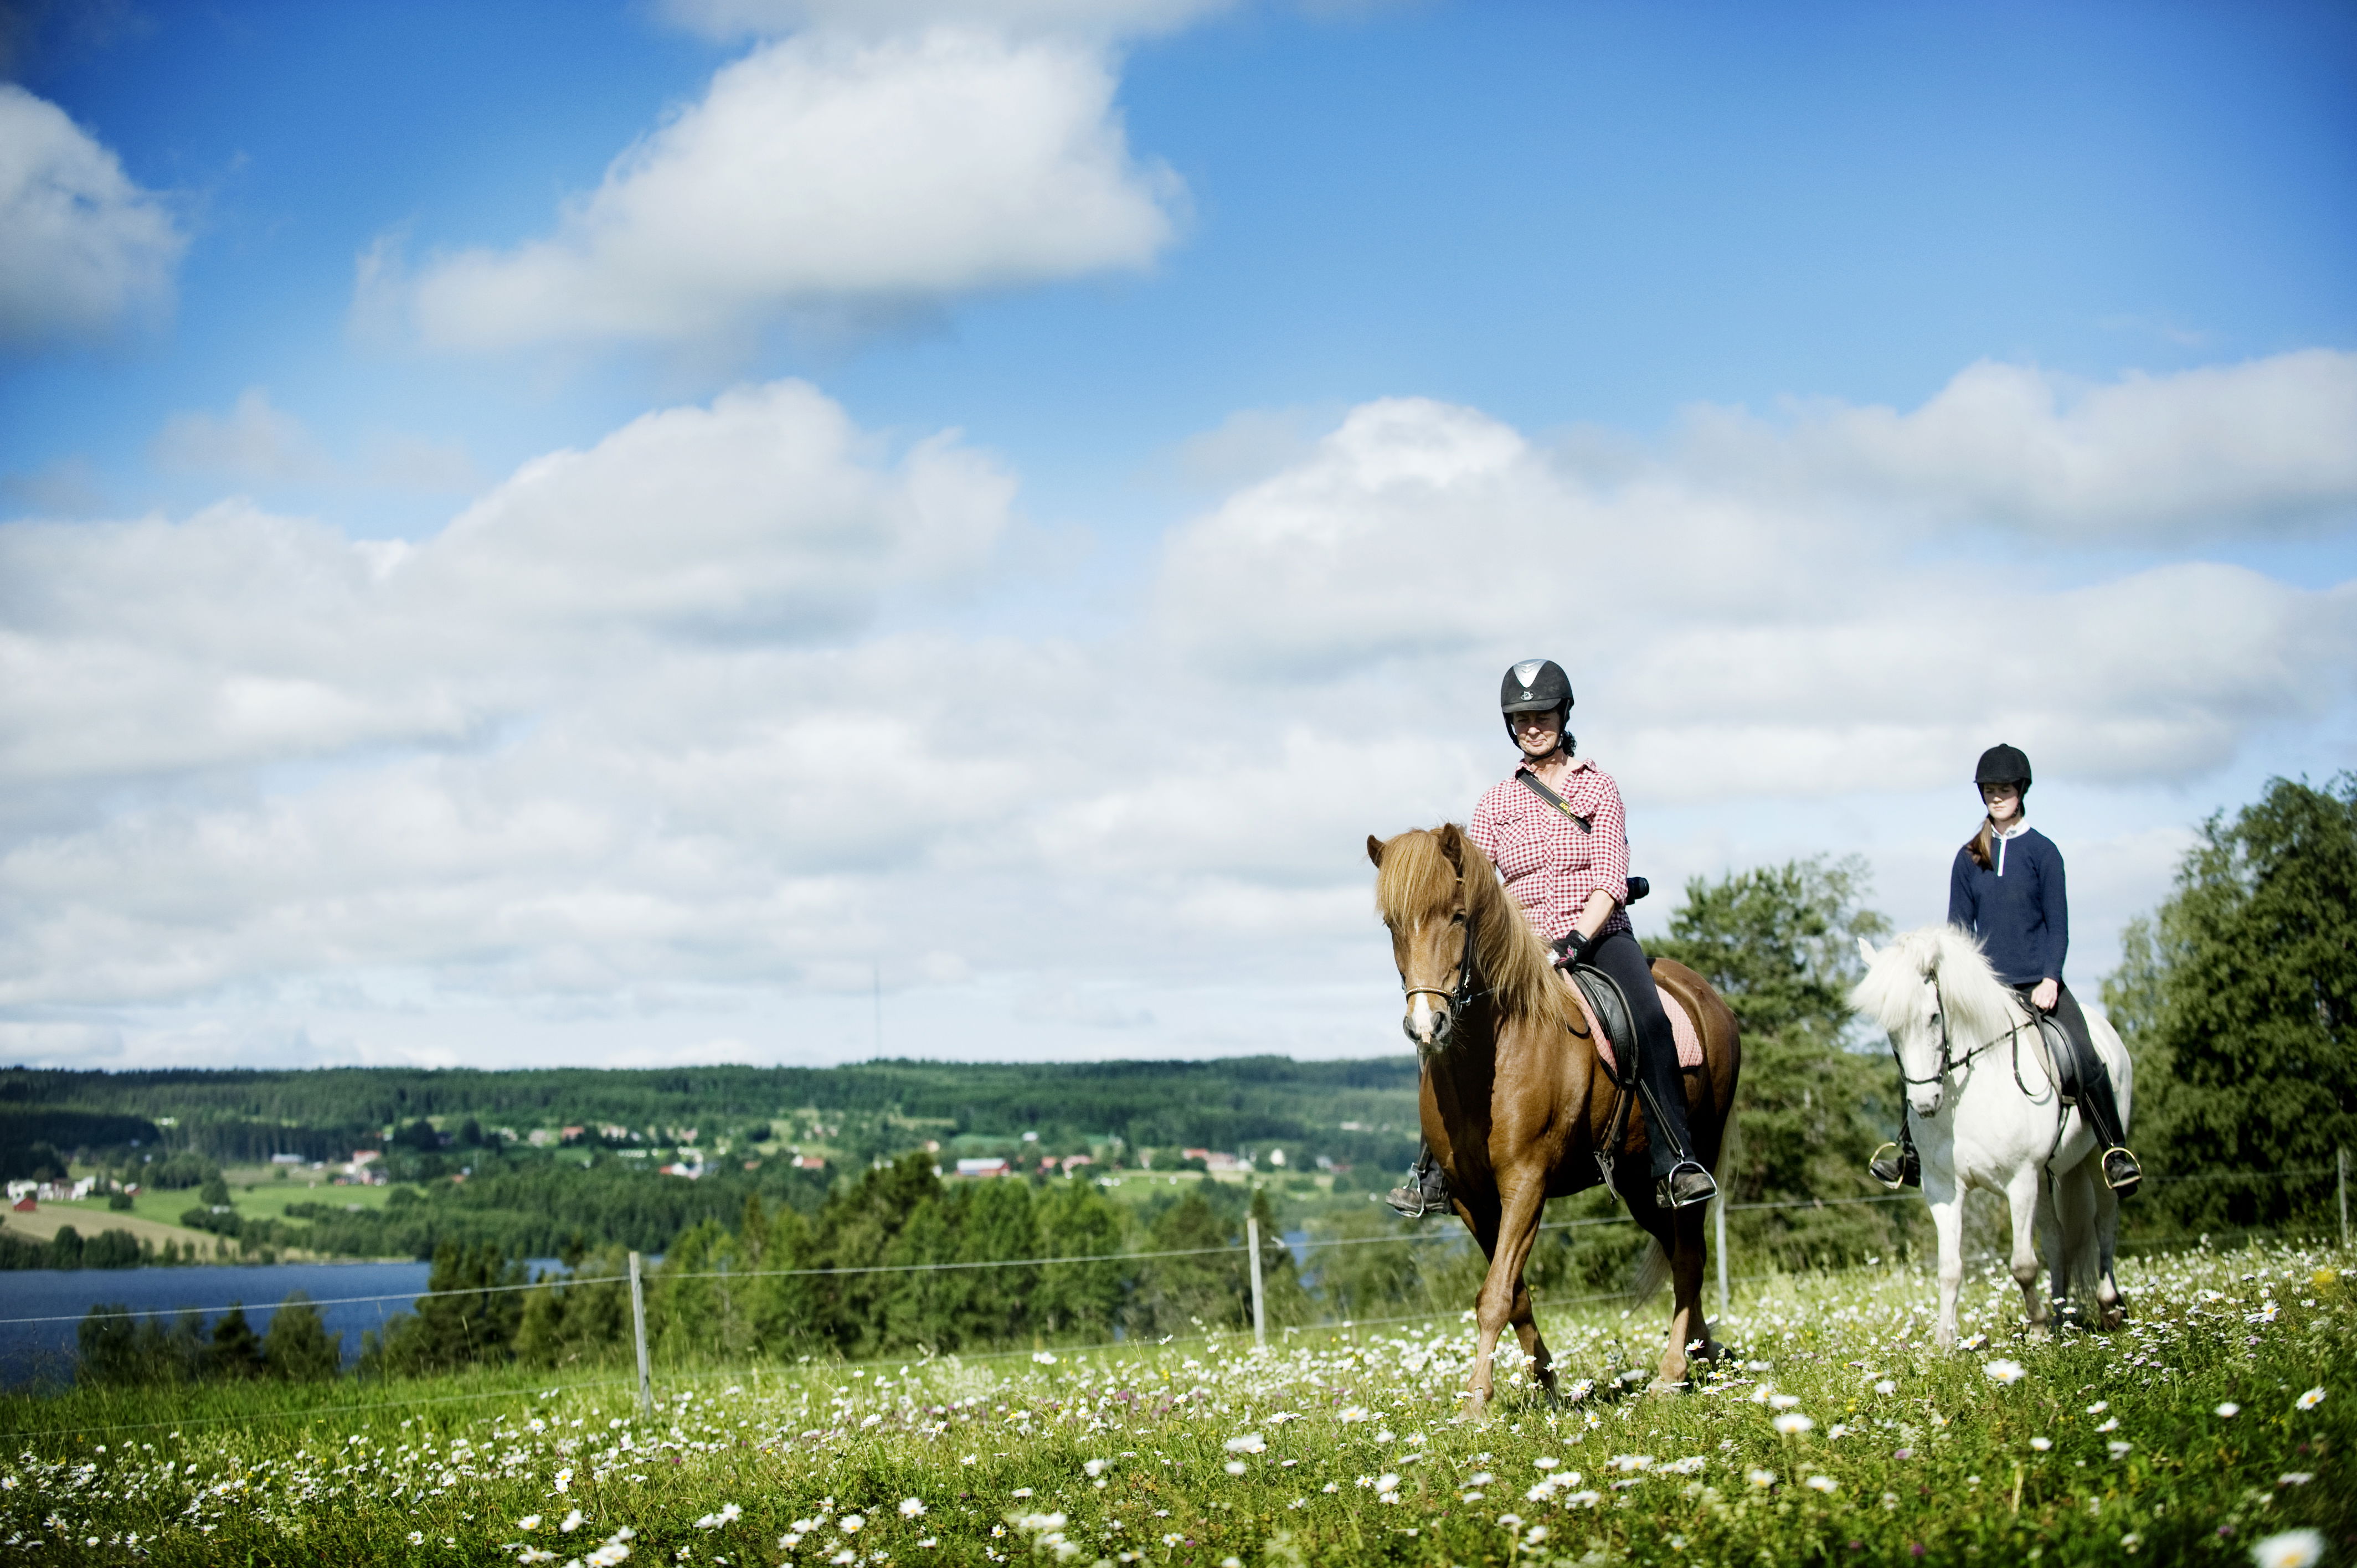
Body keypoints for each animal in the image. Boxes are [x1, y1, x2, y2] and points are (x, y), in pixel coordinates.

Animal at [1367, 823, 1742, 1411]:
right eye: (1392, 924)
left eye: (1457, 915)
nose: (1427, 1025)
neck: (1493, 1053)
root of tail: (1706, 997)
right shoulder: (1473, 1198)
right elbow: (1513, 1291)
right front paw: (1545, 1383)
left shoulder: (1526, 1183)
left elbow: (1496, 1294)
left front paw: (1477, 1400)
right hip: (1638, 1181)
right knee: (1679, 1251)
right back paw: (1703, 1350)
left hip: (1689, 1158)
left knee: (1689, 1256)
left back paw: (1672, 1372)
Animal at [1851, 926, 2129, 1346]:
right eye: (1891, 1029)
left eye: (1934, 1016)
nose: (1925, 1103)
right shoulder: (1944, 1189)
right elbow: (1950, 1268)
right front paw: (1944, 1343)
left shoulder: (2020, 1179)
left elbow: (2023, 1265)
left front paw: (2036, 1328)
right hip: (2044, 1180)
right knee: (2057, 1239)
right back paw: (2061, 1320)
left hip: (2093, 1161)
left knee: (2105, 1223)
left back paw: (2109, 1308)